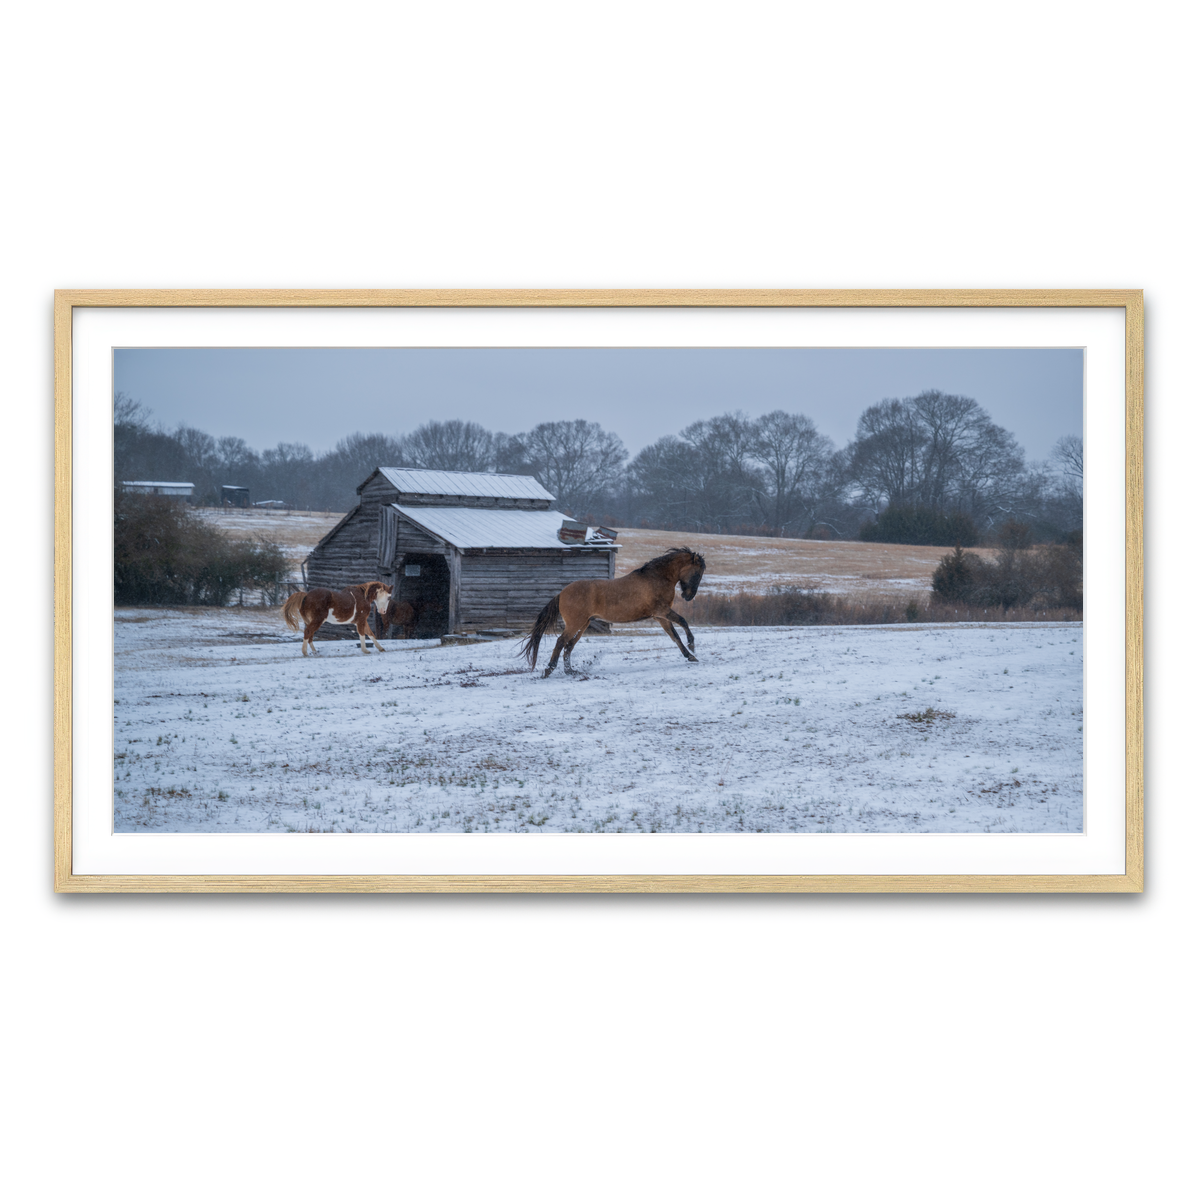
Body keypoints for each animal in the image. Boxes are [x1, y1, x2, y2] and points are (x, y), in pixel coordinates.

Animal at [520, 547, 706, 677]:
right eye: (697, 573)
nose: (688, 596)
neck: (656, 578)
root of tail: (561, 593)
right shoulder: (662, 611)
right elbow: (683, 622)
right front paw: (692, 646)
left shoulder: (660, 616)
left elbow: (674, 636)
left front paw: (690, 656)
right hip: (575, 624)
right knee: (561, 642)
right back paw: (549, 670)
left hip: (584, 624)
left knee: (569, 645)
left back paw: (570, 671)